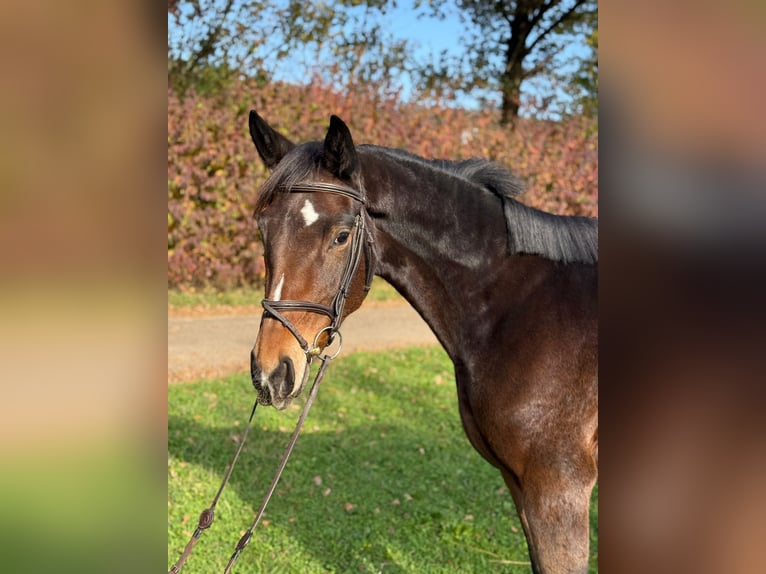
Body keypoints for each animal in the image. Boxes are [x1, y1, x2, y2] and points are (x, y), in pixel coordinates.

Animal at [249, 112, 596, 574]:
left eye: (341, 236)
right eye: (263, 230)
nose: (271, 371)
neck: (516, 309)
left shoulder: (558, 490)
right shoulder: (520, 485)